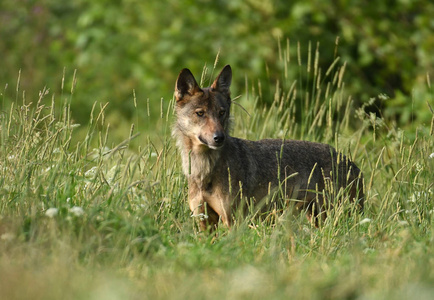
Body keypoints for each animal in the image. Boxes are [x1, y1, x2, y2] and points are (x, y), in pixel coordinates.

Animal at [173, 65, 362, 230]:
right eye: (200, 113)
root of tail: (350, 161)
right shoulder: (204, 222)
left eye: (222, 113)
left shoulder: (233, 222)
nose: (219, 138)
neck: (204, 171)